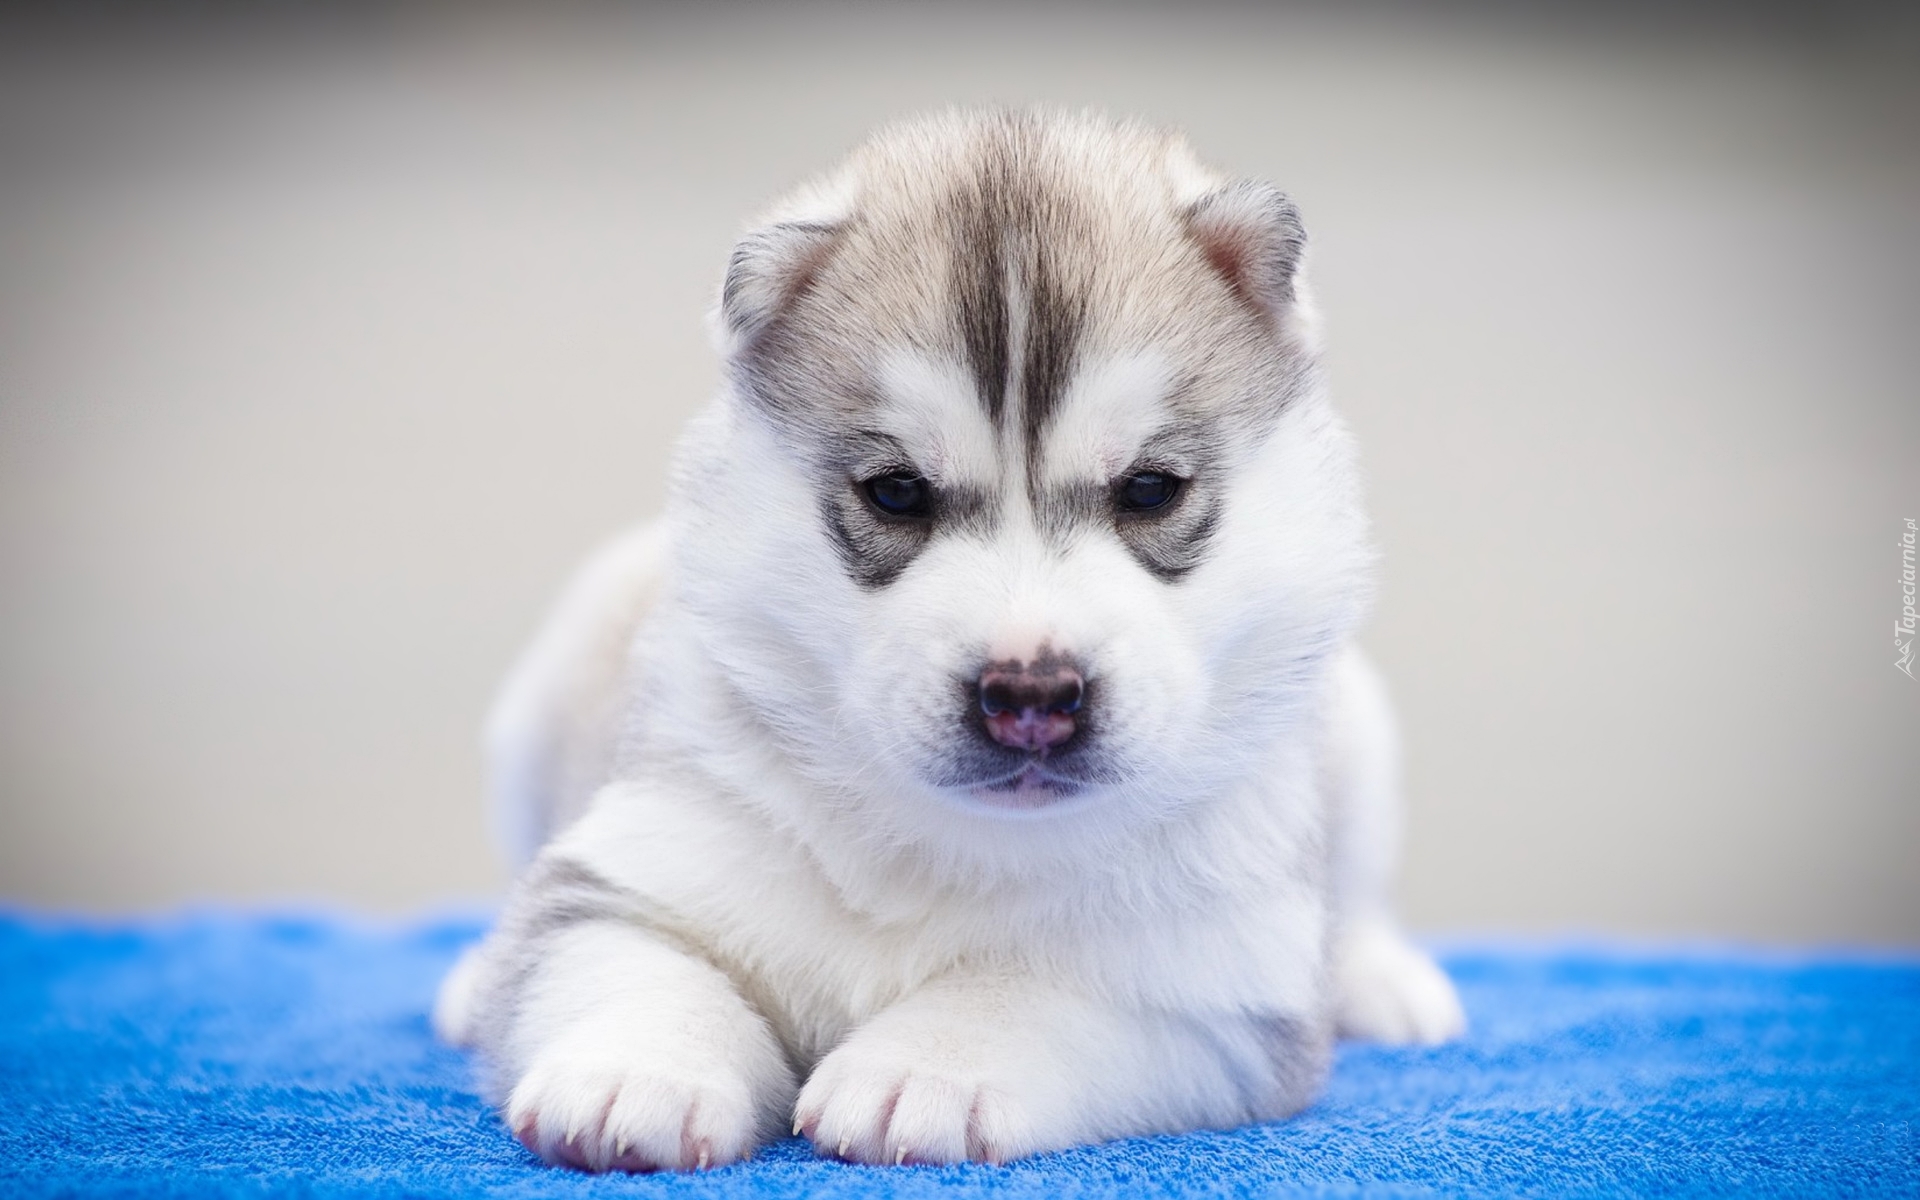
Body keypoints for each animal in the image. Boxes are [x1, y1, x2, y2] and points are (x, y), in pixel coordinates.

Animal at [435, 107, 1451, 1167]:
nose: (1031, 695)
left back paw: (1384, 981)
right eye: (895, 492)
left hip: (1359, 731)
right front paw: (635, 1070)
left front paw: (926, 1069)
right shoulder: (638, 863)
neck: (952, 846)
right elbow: (626, 956)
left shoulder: (1214, 988)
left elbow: (1041, 993)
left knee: (1358, 890)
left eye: (1149, 490)